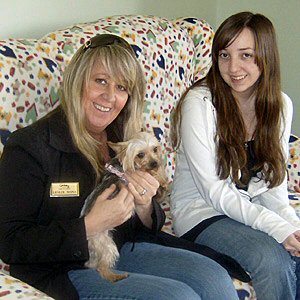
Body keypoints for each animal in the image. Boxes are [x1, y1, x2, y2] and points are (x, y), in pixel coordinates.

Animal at [80, 131, 169, 282]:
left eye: (155, 149)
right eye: (140, 154)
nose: (154, 163)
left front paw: (161, 177)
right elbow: (154, 177)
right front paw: (162, 180)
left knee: (93, 264)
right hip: (106, 244)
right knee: (102, 267)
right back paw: (116, 276)